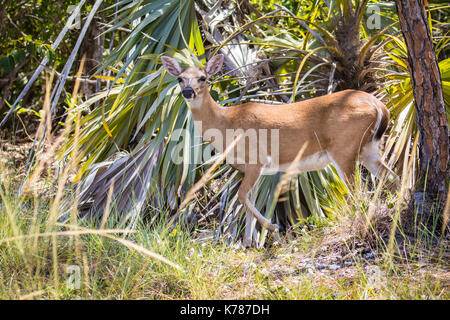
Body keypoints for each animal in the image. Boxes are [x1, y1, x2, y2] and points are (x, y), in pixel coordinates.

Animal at [161, 53, 394, 248]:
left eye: (203, 77)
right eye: (179, 78)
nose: (188, 92)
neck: (226, 123)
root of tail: (380, 106)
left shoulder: (255, 159)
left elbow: (242, 196)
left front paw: (272, 227)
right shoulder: (250, 168)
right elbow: (249, 199)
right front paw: (248, 244)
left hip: (344, 149)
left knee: (359, 191)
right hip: (369, 148)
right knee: (391, 175)